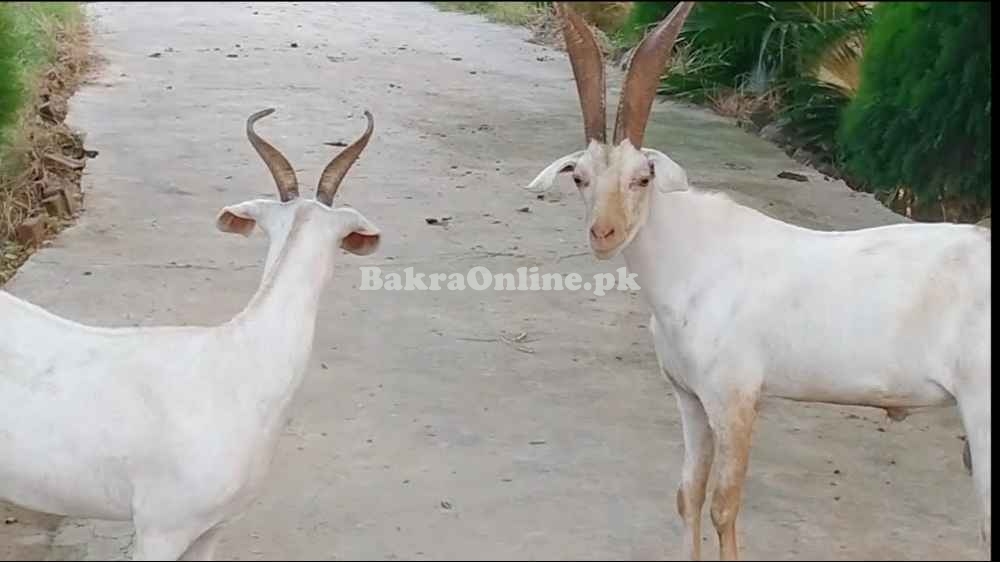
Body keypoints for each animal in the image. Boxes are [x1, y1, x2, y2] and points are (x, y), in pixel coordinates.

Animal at [528, 3, 988, 556]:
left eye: (643, 177)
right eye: (580, 178)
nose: (604, 233)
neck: (695, 260)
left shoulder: (736, 398)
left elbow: (724, 506)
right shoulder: (690, 398)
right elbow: (688, 495)